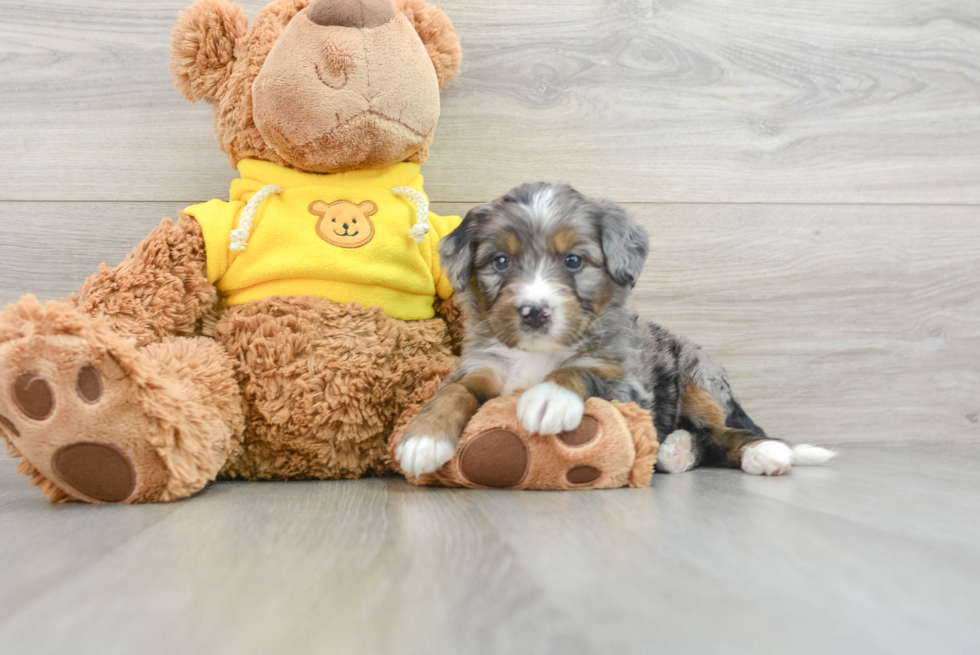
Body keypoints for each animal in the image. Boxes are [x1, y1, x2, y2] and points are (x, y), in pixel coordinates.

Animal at [394, 183, 832, 476]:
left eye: (573, 261)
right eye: (501, 261)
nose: (534, 312)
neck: (539, 354)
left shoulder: (628, 385)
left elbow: (580, 370)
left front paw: (549, 396)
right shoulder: (483, 367)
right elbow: (453, 391)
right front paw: (424, 437)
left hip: (699, 378)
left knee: (726, 431)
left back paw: (765, 453)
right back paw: (675, 450)